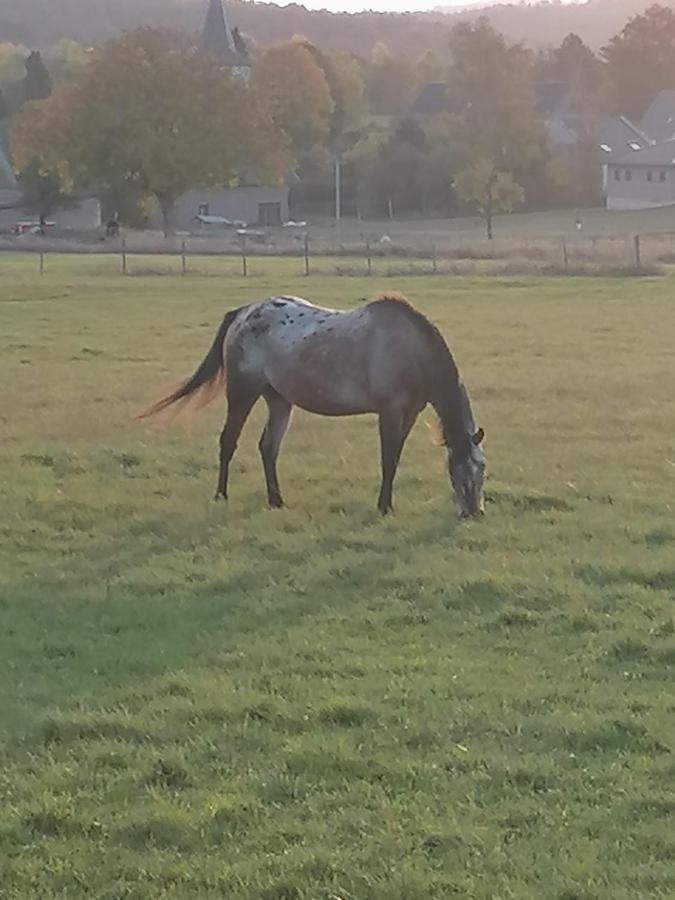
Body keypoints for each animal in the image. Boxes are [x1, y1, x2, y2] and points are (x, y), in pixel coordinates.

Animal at [139, 296, 486, 516]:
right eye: (458, 470)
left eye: (482, 468)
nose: (474, 512)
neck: (410, 348)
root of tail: (242, 313)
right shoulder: (388, 412)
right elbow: (388, 461)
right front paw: (384, 507)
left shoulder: (410, 412)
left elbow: (396, 458)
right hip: (242, 393)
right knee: (228, 441)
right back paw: (221, 495)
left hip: (279, 400)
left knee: (268, 447)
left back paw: (276, 500)